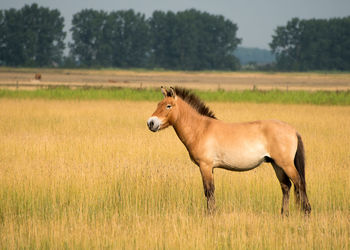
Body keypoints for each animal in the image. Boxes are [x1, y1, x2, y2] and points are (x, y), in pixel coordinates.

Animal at [146, 87, 310, 216]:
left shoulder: (205, 166)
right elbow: (210, 191)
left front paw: (210, 215)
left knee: (299, 183)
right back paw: (284, 214)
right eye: (158, 104)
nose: (151, 123)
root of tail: (293, 131)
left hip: (286, 164)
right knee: (286, 186)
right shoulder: (210, 168)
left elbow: (209, 191)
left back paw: (306, 212)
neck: (201, 129)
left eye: (168, 106)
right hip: (276, 164)